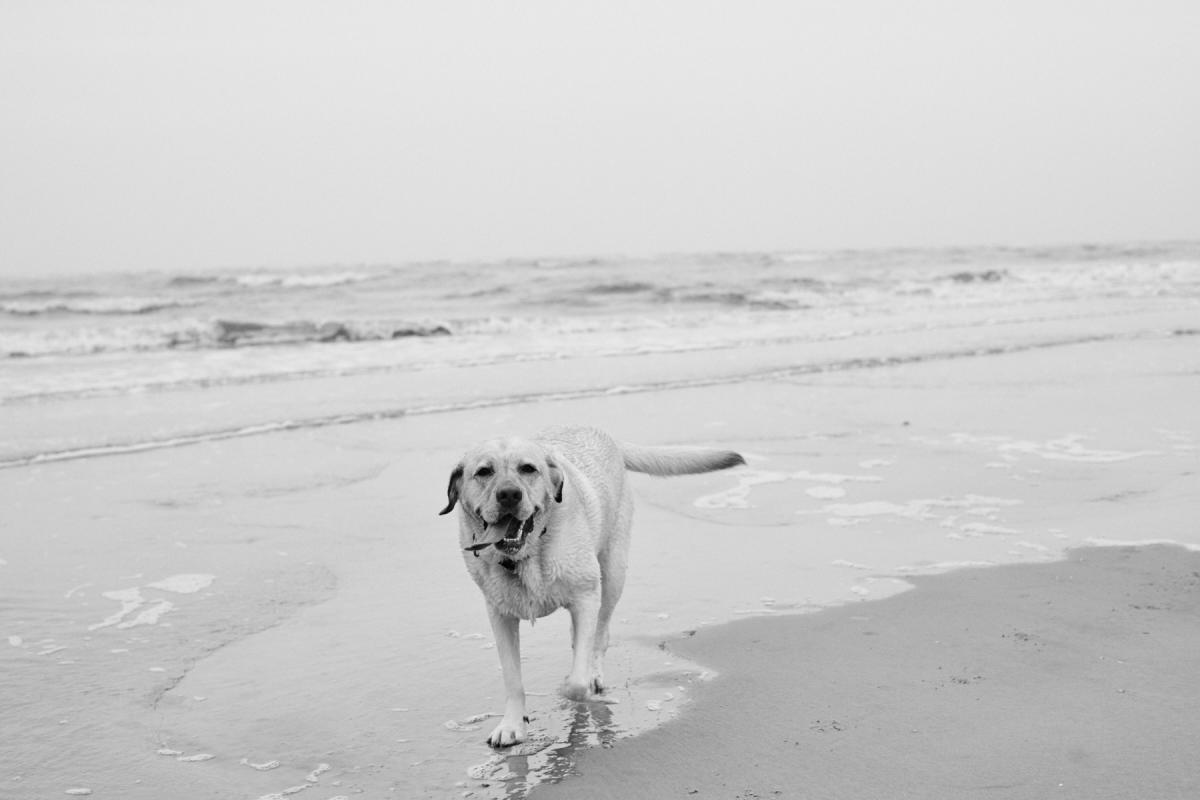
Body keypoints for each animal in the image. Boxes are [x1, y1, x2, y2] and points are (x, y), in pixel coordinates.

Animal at [441, 424, 739, 753]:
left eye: (528, 469)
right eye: (484, 471)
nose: (509, 494)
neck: (527, 555)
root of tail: (605, 435)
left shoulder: (585, 597)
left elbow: (577, 683)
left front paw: (574, 693)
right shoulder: (500, 616)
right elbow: (513, 679)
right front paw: (511, 725)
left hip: (612, 575)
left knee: (600, 634)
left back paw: (593, 671)